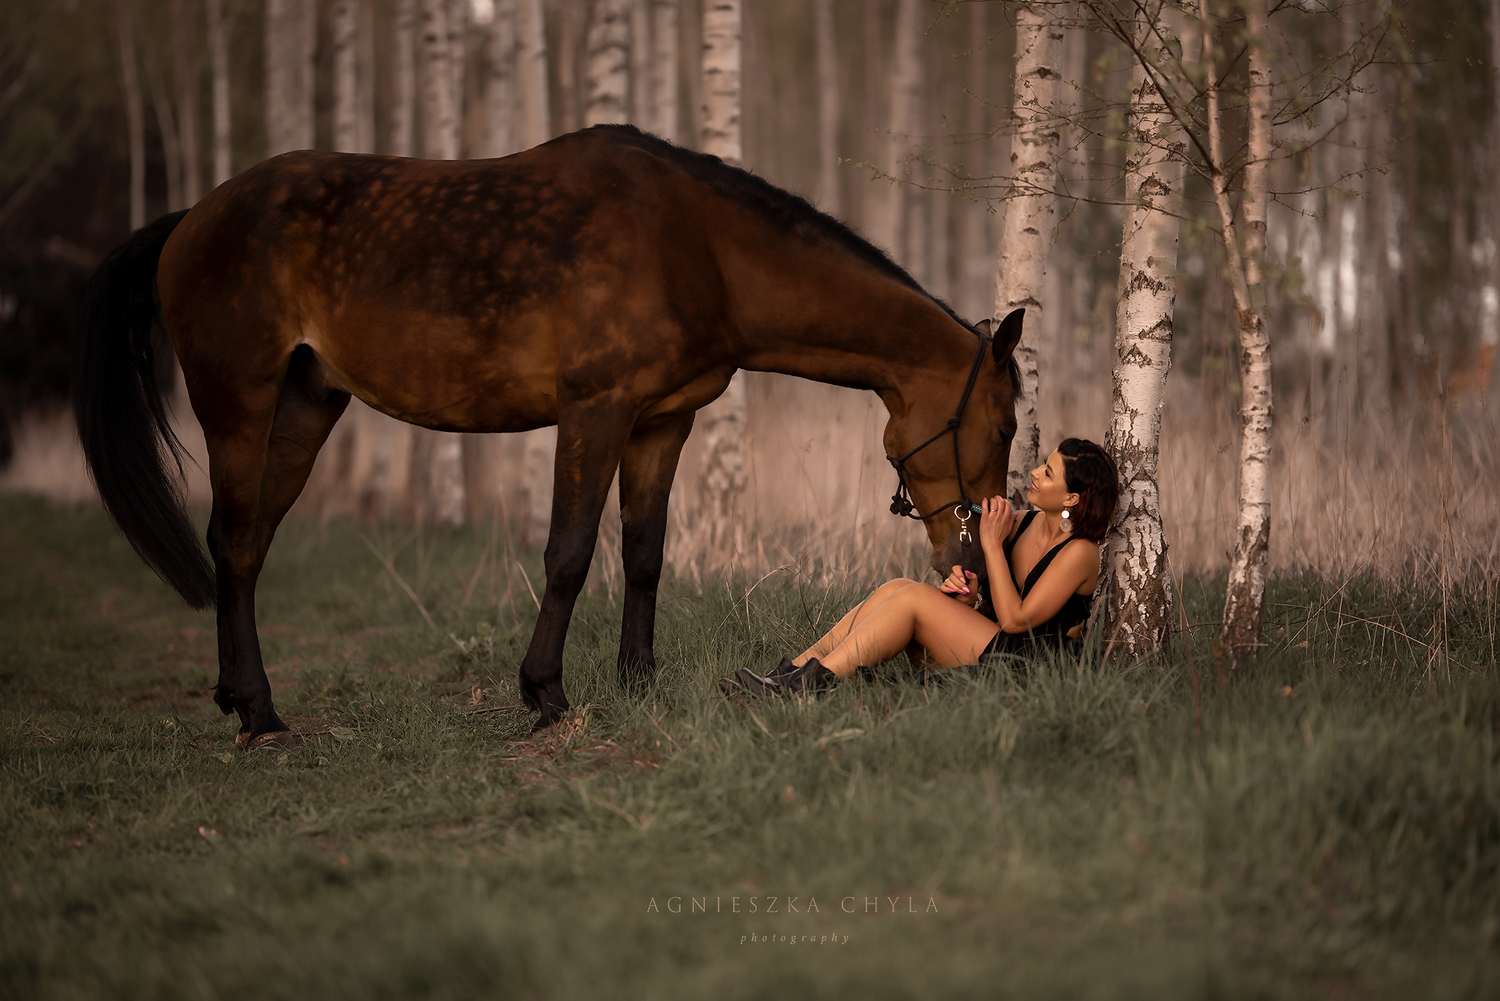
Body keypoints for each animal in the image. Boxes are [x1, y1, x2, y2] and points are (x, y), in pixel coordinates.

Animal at [73, 124, 1025, 747]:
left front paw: (638, 681)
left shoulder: (661, 421)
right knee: (233, 543)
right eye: (1004, 422)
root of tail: (192, 218)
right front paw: (545, 693)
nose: (974, 563)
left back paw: (246, 703)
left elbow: (644, 554)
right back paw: (262, 712)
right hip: (238, 401)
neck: (697, 246)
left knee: (249, 548)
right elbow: (568, 552)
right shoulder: (595, 409)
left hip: (307, 406)